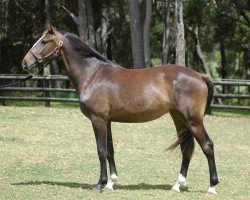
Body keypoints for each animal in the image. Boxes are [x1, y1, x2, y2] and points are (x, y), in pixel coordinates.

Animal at [23, 22, 219, 195]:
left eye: (44, 41)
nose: (25, 62)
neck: (92, 74)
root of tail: (200, 75)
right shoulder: (107, 120)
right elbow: (110, 151)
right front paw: (111, 183)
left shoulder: (98, 119)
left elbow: (101, 151)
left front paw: (100, 185)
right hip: (179, 118)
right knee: (186, 149)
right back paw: (177, 185)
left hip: (193, 120)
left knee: (207, 146)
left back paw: (212, 187)